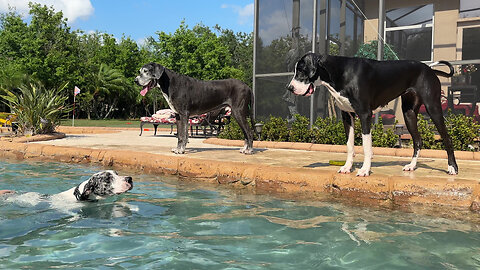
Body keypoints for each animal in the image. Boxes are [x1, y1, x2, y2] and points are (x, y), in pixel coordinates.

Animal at [288, 53, 458, 177]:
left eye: (301, 70)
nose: (290, 88)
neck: (340, 72)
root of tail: (429, 69)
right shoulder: (347, 116)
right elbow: (349, 145)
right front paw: (347, 167)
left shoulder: (365, 115)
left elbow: (366, 146)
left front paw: (364, 170)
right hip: (408, 113)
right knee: (417, 140)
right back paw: (412, 165)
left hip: (433, 108)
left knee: (447, 138)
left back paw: (452, 167)